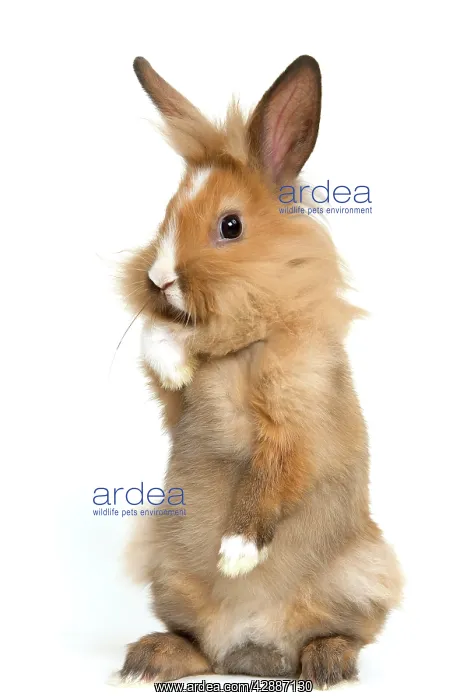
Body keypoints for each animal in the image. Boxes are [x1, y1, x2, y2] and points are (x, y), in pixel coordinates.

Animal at [117, 55, 403, 689]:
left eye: (230, 227)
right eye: (166, 214)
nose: (159, 279)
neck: (243, 346)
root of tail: (248, 647)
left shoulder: (298, 418)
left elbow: (272, 476)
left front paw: (238, 553)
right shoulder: (179, 405)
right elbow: (158, 347)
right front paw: (175, 365)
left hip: (361, 575)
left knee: (337, 634)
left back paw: (327, 663)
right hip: (168, 571)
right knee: (198, 646)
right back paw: (149, 658)